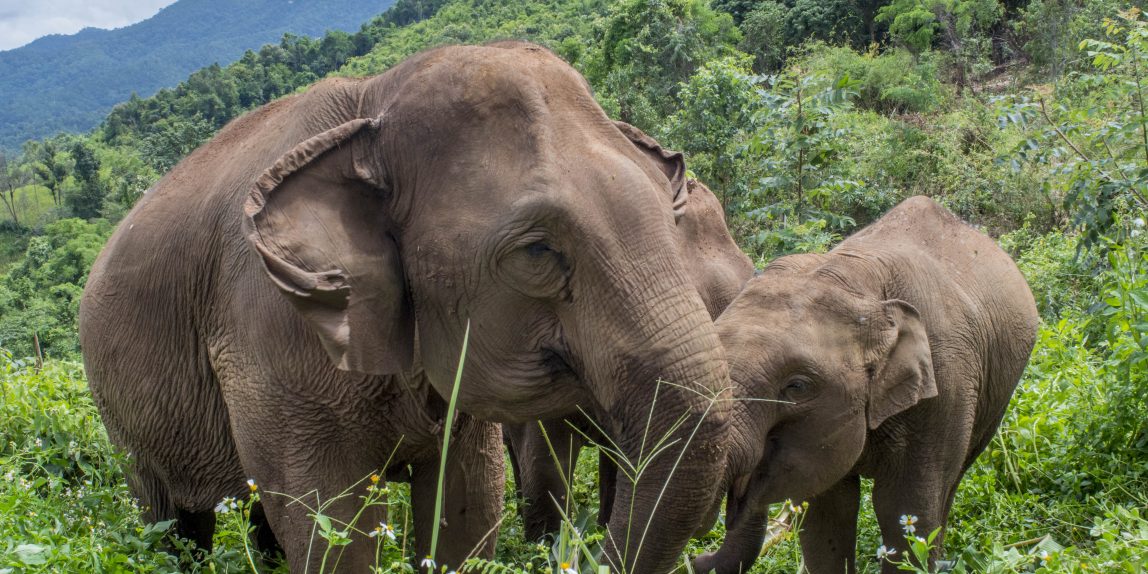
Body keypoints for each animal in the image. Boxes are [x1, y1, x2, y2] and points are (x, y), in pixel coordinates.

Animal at [692, 196, 1039, 574]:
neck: (856, 279)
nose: (696, 559)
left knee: (951, 483)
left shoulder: (946, 385)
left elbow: (904, 508)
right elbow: (829, 512)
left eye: (797, 387)